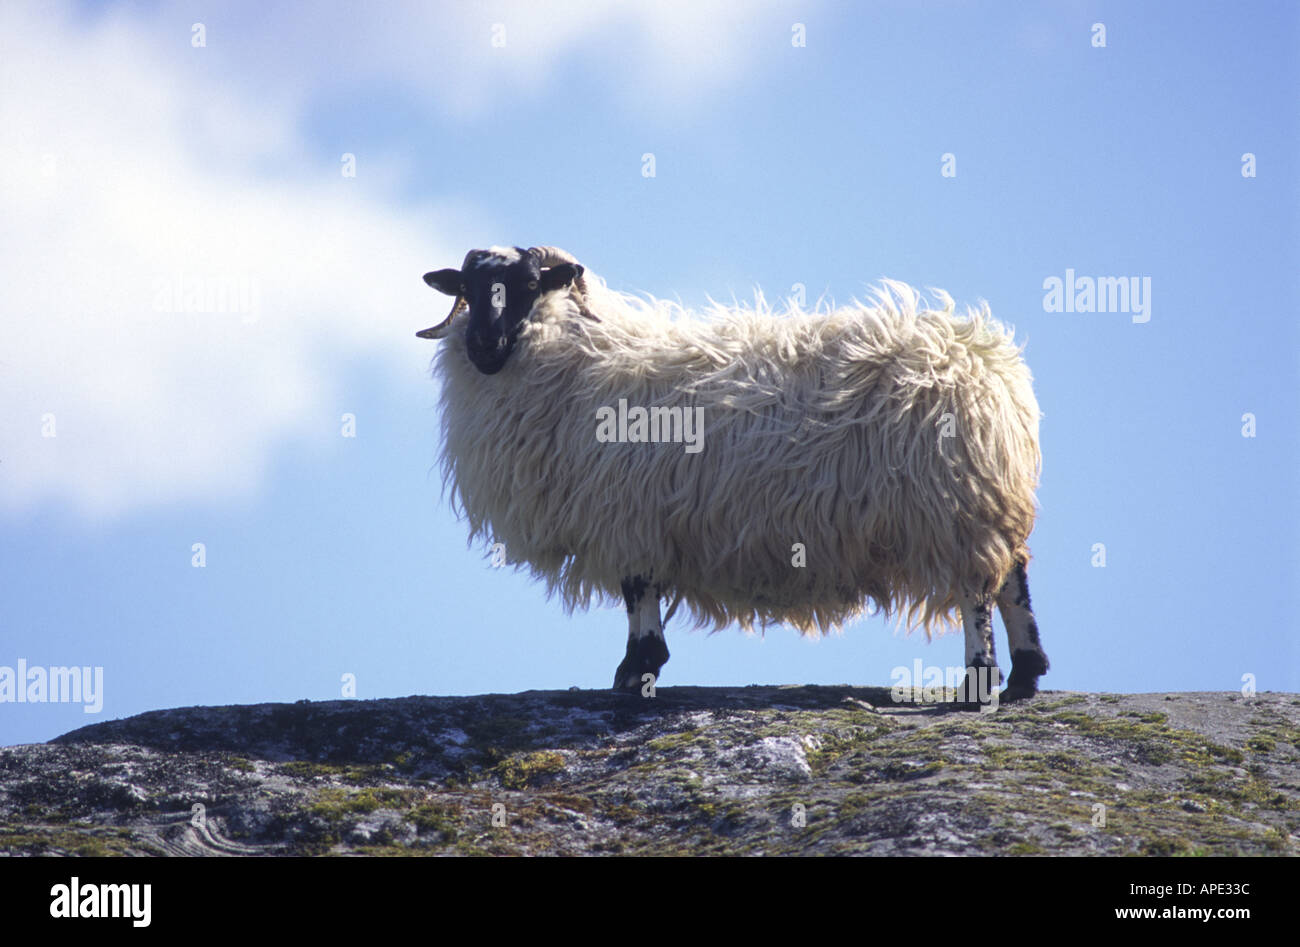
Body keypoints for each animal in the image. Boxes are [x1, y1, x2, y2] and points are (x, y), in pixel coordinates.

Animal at [421, 244, 1050, 702]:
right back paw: (1025, 675)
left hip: (954, 504)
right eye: (468, 290)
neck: (575, 362)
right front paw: (639, 669)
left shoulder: (628, 515)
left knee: (977, 591)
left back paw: (979, 682)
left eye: (529, 286)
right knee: (1015, 575)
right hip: (986, 499)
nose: (483, 343)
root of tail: (989, 365)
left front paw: (635, 672)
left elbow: (637, 592)